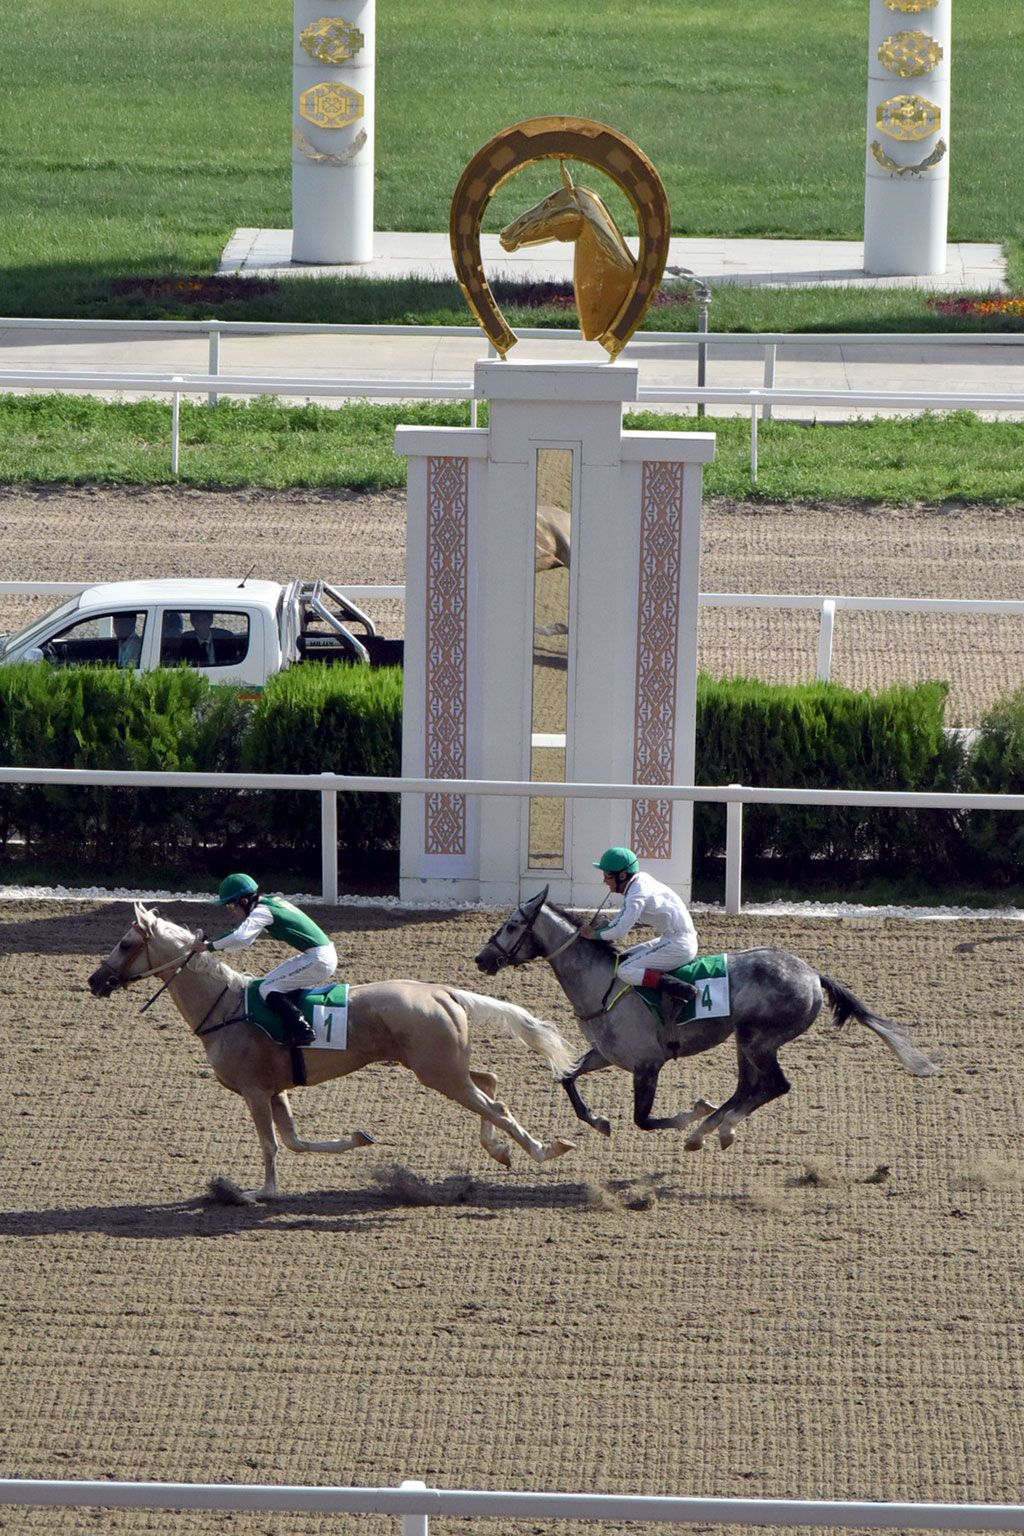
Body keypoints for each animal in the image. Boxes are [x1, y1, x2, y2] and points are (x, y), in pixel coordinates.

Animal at [90, 897, 577, 1198]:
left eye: (126, 943)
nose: (95, 981)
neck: (225, 1006)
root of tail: (442, 991)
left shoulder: (254, 1091)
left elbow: (271, 1145)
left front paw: (259, 1192)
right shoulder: (276, 1090)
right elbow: (295, 1141)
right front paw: (358, 1138)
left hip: (440, 1072)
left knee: (496, 1107)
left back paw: (542, 1149)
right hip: (443, 1067)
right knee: (490, 1082)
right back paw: (500, 1150)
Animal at [475, 890, 939, 1155]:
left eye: (512, 925)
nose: (481, 959)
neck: (603, 984)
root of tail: (811, 973)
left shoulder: (647, 1065)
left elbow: (644, 1120)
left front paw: (690, 1115)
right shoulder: (606, 1055)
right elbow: (568, 1079)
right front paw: (599, 1121)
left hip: (758, 1039)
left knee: (773, 1086)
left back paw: (710, 1127)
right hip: (746, 1041)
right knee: (749, 1087)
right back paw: (717, 1128)